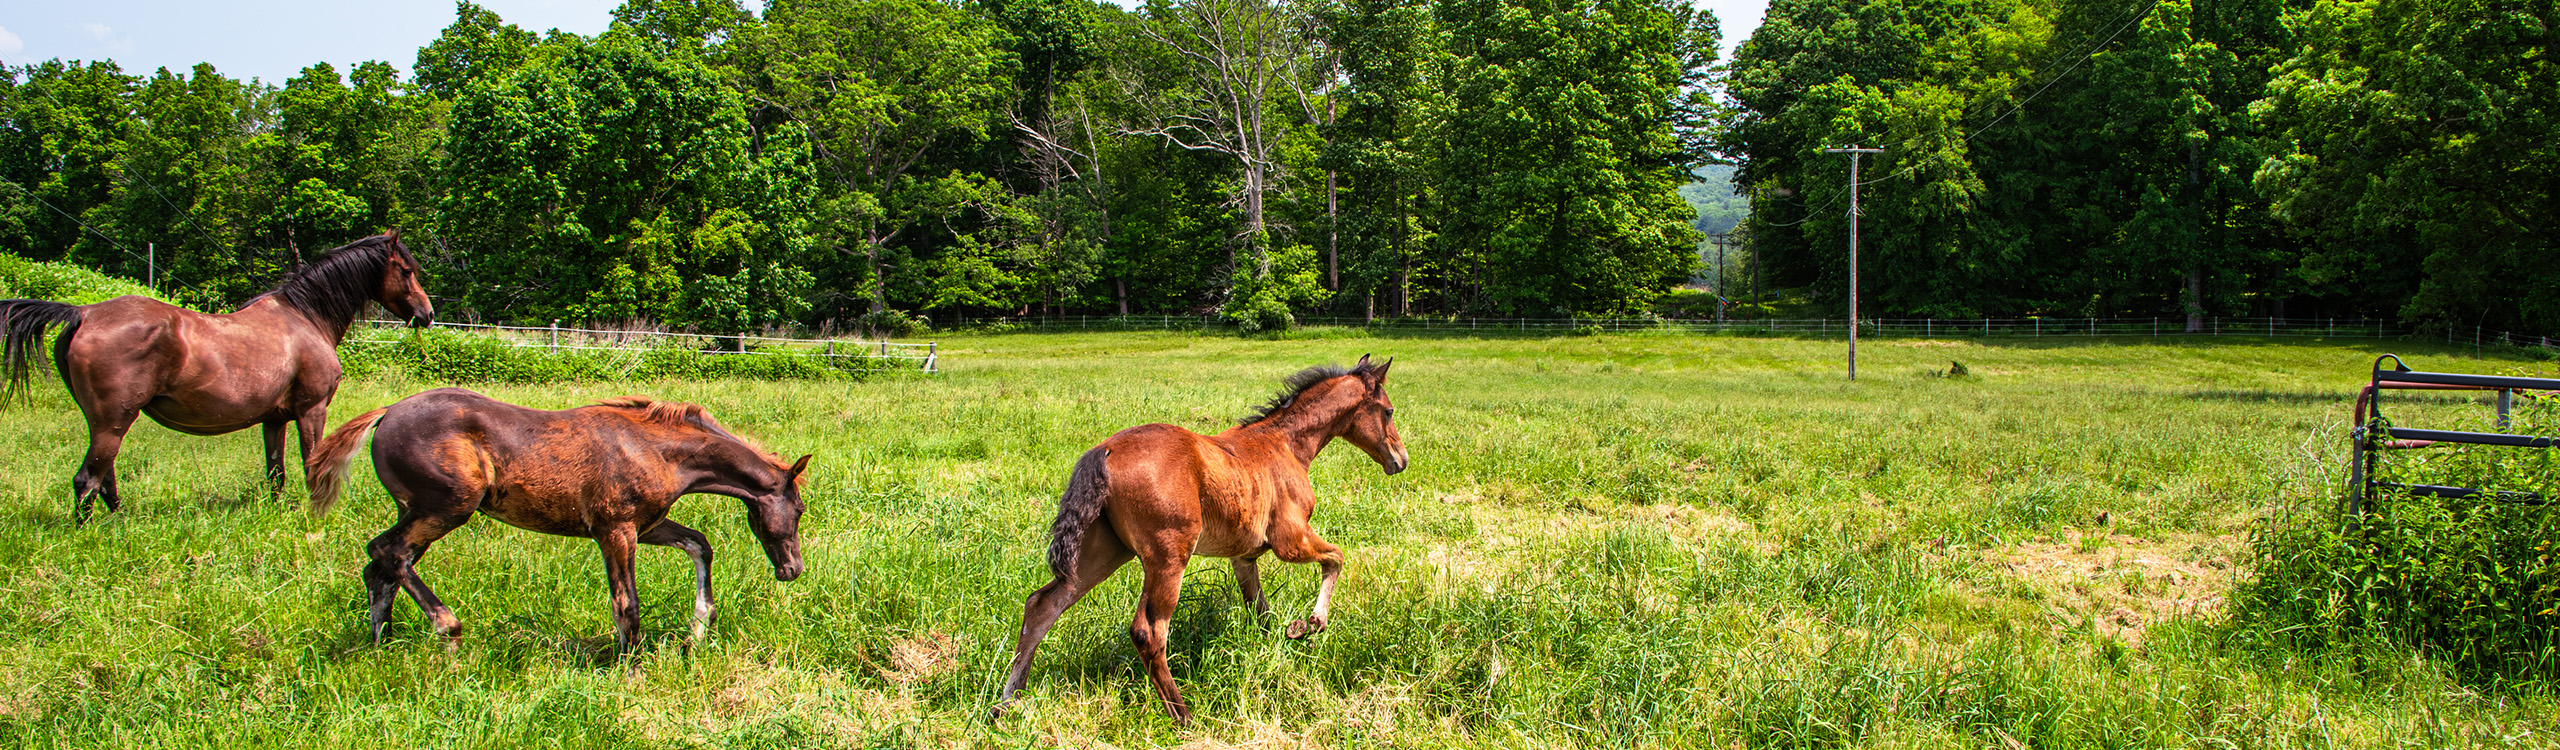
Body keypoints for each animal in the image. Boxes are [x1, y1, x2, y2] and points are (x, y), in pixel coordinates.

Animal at [0, 230, 433, 519]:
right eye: (405, 270)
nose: (427, 314)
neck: (305, 318)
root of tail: (83, 313)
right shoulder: (311, 410)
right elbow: (312, 464)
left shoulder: (274, 419)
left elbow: (275, 473)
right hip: (113, 421)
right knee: (87, 480)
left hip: (107, 423)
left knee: (104, 477)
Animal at [303, 388, 810, 655]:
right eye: (801, 510)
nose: (793, 569)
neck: (655, 449)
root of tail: (386, 414)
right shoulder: (614, 530)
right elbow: (626, 603)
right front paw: (632, 671)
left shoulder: (646, 527)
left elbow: (699, 544)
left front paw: (700, 626)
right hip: (447, 506)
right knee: (387, 553)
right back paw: (448, 630)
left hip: (416, 509)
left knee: (384, 566)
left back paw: (381, 648)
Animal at [993, 355, 1408, 722]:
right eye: (1388, 411)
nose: (1401, 459)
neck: (1286, 444)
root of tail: (1104, 450)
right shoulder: (1290, 540)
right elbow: (1336, 557)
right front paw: (1311, 623)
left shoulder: (1244, 557)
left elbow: (1260, 611)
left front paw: (1280, 645)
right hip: (1167, 556)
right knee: (1148, 632)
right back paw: (1183, 716)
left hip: (1103, 553)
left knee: (1042, 606)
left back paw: (1006, 704)